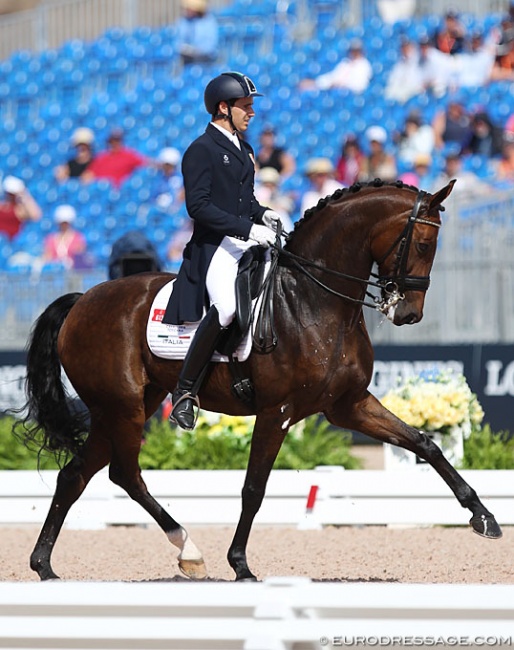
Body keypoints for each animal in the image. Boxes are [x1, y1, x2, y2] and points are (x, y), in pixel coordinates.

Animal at [17, 178, 500, 584]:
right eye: (422, 241)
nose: (408, 313)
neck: (312, 301)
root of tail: (84, 300)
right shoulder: (277, 411)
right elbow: (254, 487)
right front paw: (241, 566)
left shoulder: (349, 404)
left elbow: (424, 443)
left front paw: (483, 517)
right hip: (124, 408)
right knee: (123, 473)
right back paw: (188, 551)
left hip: (120, 407)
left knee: (79, 475)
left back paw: (46, 566)